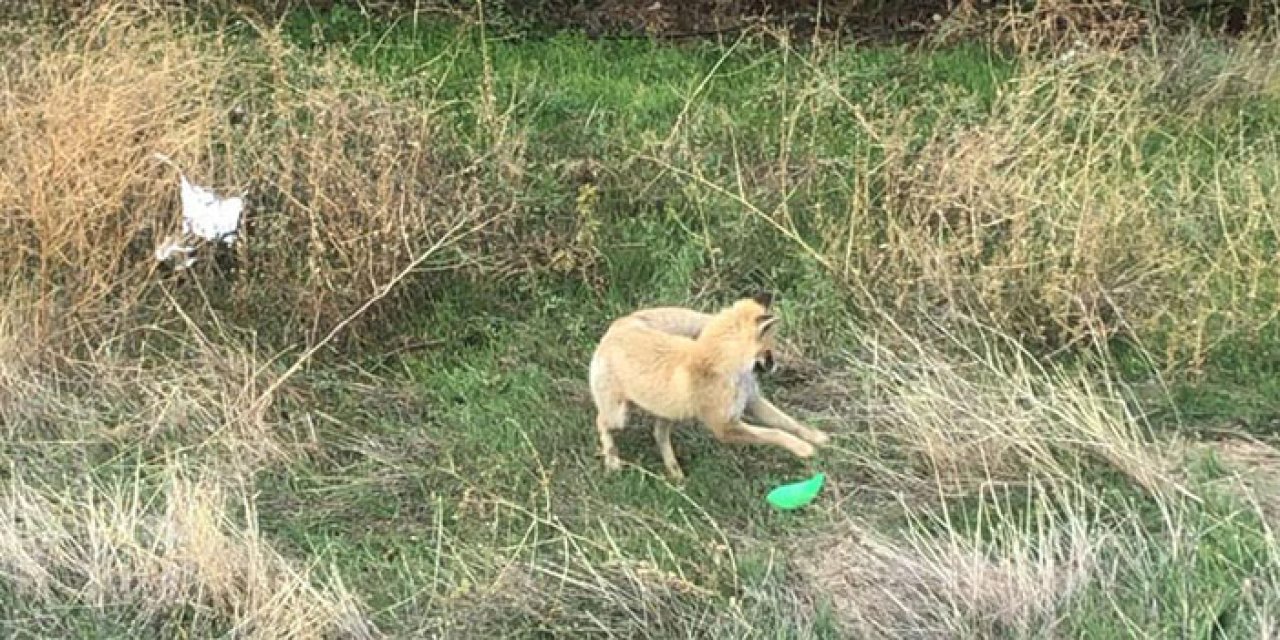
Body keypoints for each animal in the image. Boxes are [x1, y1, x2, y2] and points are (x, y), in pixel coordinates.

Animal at [583, 291, 824, 481]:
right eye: (769, 349)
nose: (775, 366)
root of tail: (619, 325)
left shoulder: (751, 401)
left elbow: (789, 424)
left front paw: (816, 438)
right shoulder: (724, 427)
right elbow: (774, 433)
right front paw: (802, 448)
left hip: (670, 412)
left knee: (658, 434)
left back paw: (675, 472)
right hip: (620, 416)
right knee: (601, 422)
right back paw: (612, 460)